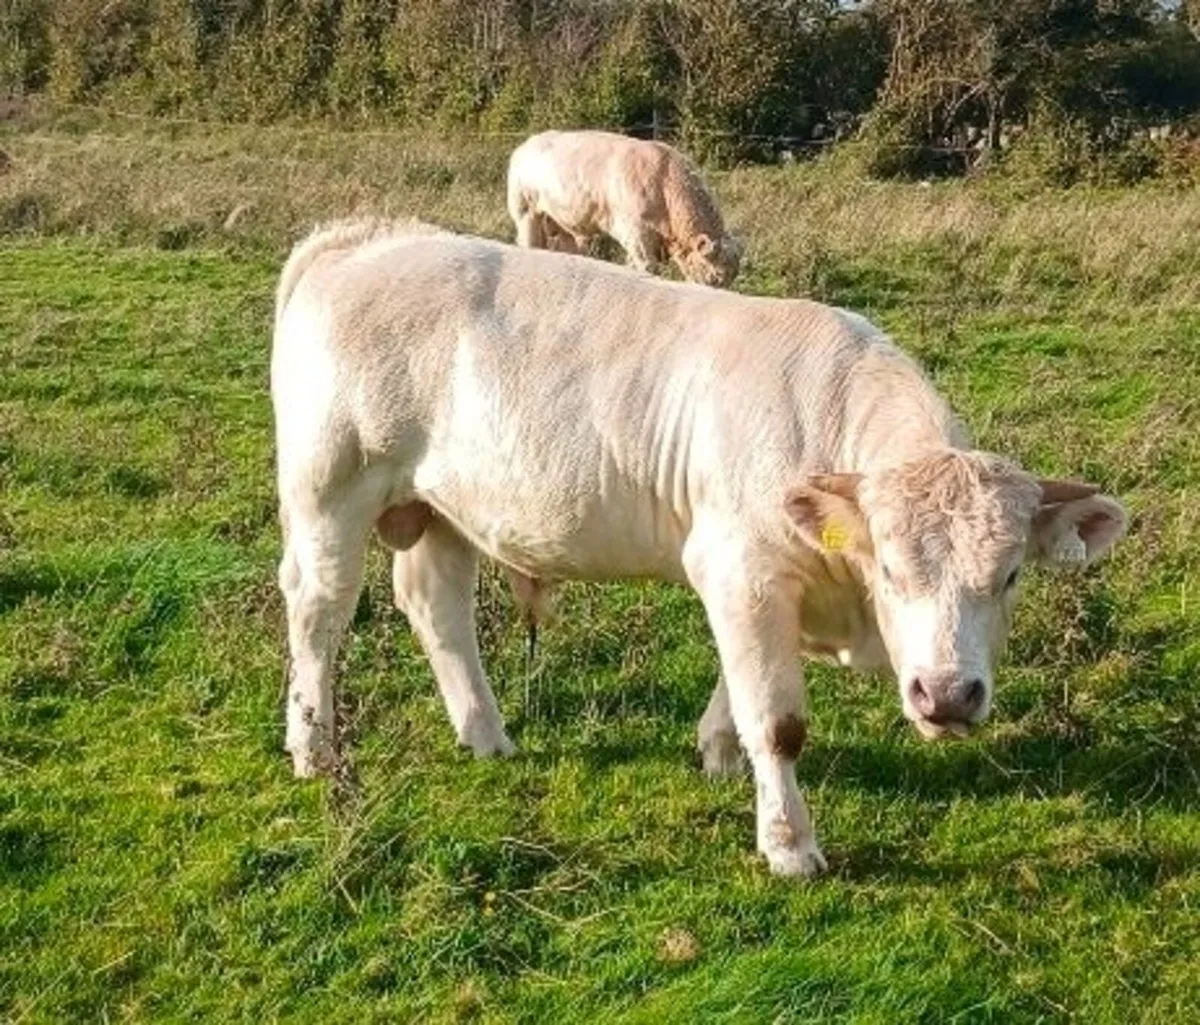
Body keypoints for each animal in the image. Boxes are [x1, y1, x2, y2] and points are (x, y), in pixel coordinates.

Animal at [271, 219, 1126, 877]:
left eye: (1009, 575)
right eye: (889, 566)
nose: (946, 695)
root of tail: (366, 238)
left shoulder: (753, 584)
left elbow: (738, 683)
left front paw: (717, 751)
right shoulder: (741, 566)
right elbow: (777, 719)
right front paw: (788, 844)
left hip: (443, 507)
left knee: (436, 605)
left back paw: (487, 735)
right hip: (330, 492)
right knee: (318, 611)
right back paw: (314, 747)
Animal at [506, 129, 741, 287]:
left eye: (732, 277)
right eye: (715, 276)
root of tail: (526, 145)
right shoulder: (636, 234)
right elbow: (647, 267)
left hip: (563, 223)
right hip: (526, 211)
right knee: (529, 242)